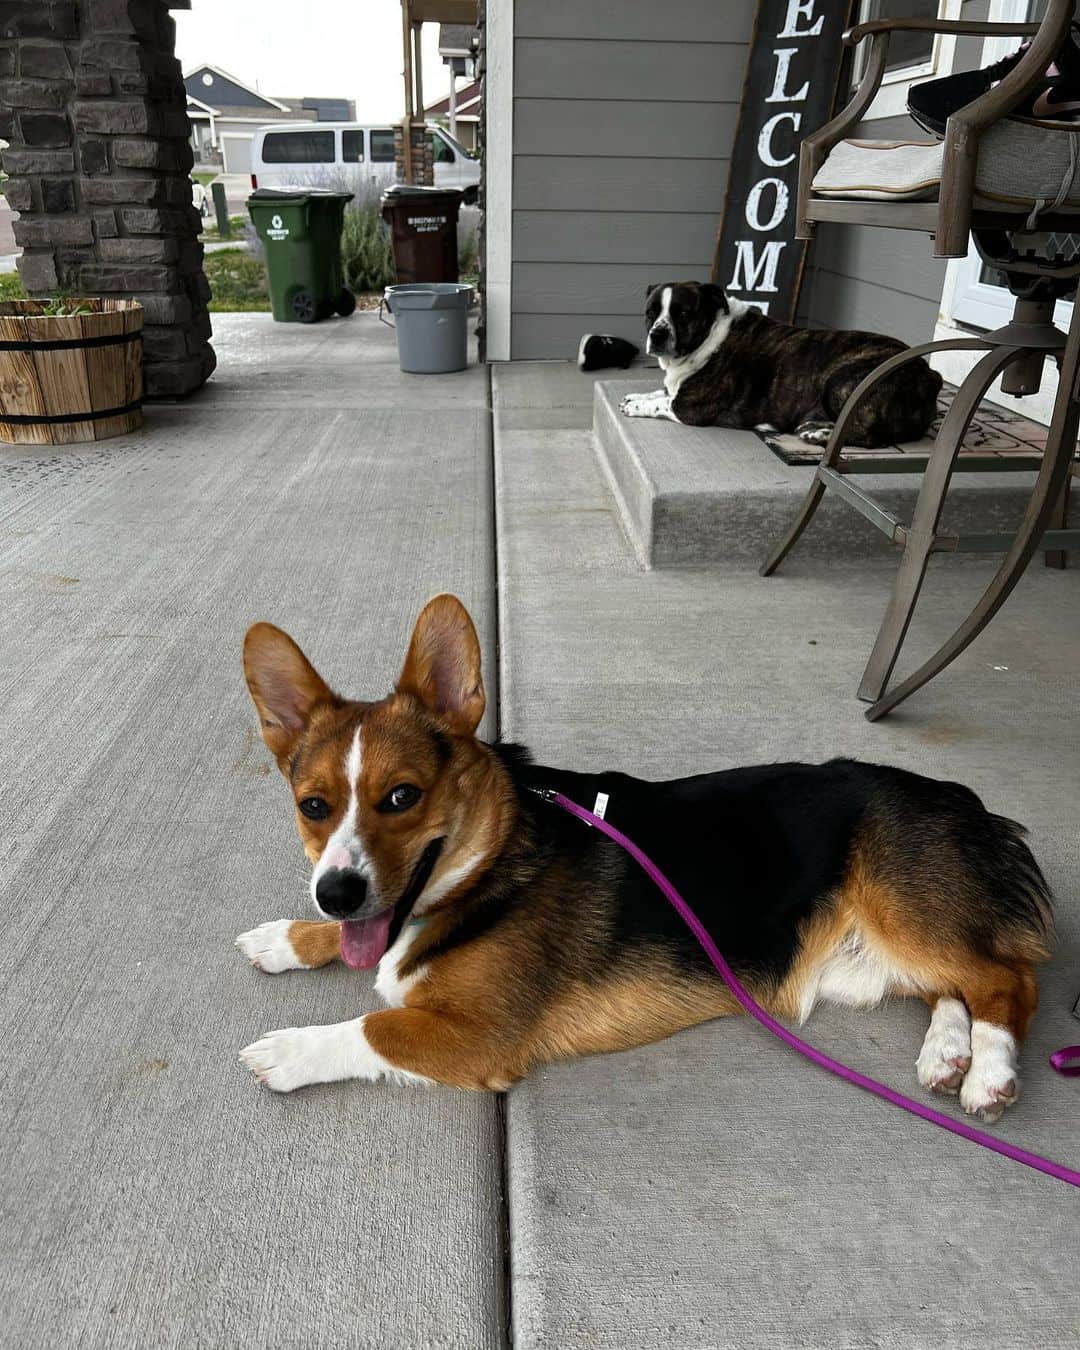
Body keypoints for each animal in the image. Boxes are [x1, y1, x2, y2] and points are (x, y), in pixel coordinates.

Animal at [233, 596, 1047, 1123]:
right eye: (314, 805)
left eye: (402, 796)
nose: (337, 894)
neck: (491, 863)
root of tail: (964, 800)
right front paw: (286, 938)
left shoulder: (475, 1036)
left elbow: (370, 1027)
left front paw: (287, 1051)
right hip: (884, 950)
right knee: (955, 983)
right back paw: (947, 1052)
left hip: (900, 910)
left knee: (1006, 977)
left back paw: (989, 1071)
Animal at [621, 279, 939, 448]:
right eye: (650, 313)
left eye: (683, 313)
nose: (657, 334)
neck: (709, 334)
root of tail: (929, 374)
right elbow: (662, 391)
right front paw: (636, 395)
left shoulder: (690, 408)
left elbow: (662, 402)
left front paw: (635, 405)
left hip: (841, 379)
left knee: (870, 436)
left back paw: (818, 433)